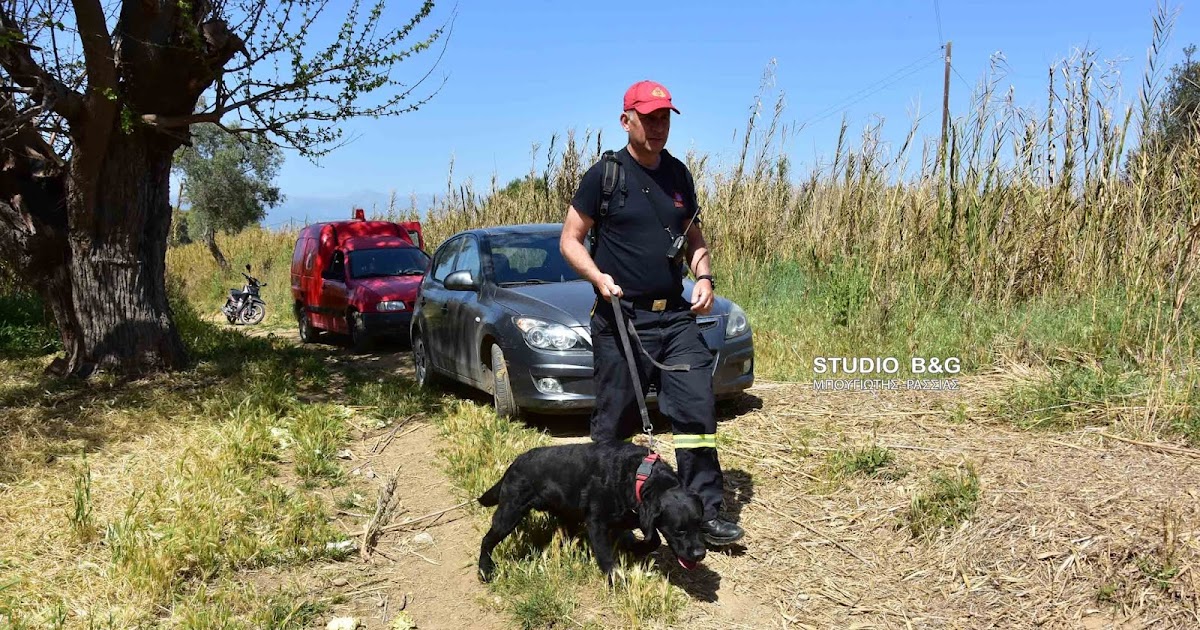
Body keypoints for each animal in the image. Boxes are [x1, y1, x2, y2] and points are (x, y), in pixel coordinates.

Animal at [475, 436, 705, 580]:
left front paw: (635, 548)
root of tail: (515, 463)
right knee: (486, 540)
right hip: (509, 514)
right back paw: (485, 570)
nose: (700, 553)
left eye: (700, 526)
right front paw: (617, 580)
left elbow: (653, 539)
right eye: (679, 530)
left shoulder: (636, 516)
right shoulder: (596, 523)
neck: (640, 475)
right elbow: (606, 558)